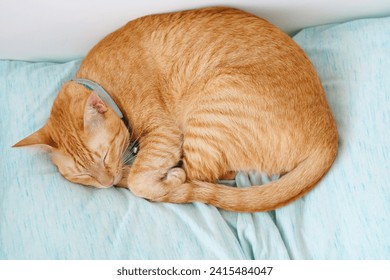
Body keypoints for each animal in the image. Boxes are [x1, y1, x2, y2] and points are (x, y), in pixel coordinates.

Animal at [13, 7, 338, 212]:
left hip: (209, 112)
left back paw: (169, 177)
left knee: (200, 175)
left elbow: (140, 181)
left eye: (104, 156)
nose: (106, 184)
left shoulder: (164, 134)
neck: (104, 83)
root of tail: (329, 136)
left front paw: (146, 177)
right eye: (82, 175)